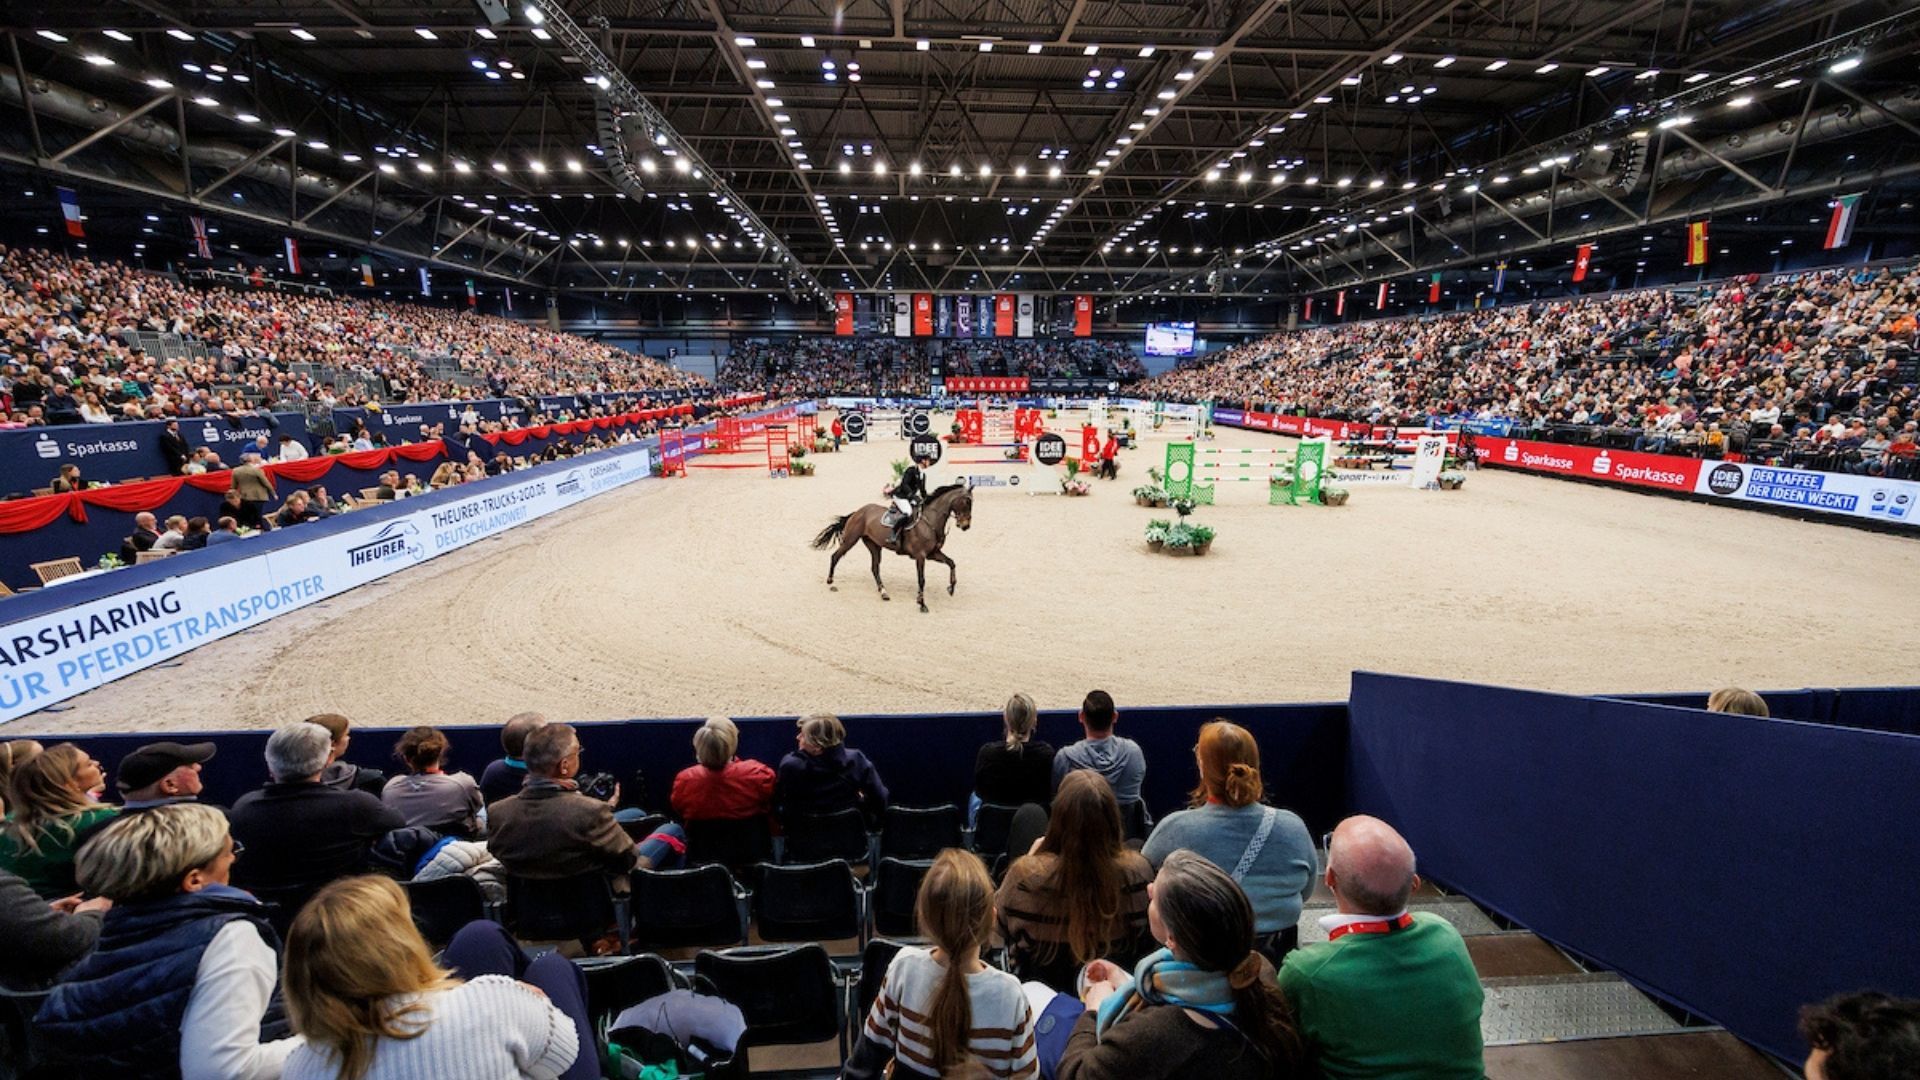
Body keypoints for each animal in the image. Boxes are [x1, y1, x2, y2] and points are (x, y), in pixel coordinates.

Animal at [811, 483, 973, 612]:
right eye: (967, 501)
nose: (965, 526)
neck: (930, 522)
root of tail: (858, 511)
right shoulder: (920, 556)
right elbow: (921, 579)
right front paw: (922, 603)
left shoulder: (933, 553)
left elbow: (951, 563)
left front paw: (951, 588)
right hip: (850, 540)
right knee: (836, 556)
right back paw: (830, 580)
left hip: (874, 545)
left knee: (874, 568)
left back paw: (884, 592)